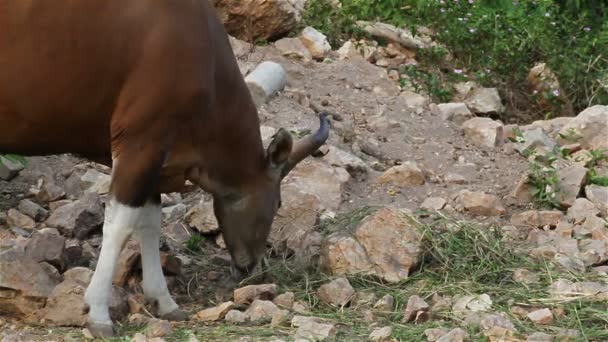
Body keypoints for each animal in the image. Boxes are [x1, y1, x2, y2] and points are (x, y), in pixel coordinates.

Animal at [0, 0, 330, 336]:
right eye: (278, 203)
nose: (254, 268)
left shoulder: (159, 159)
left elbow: (149, 221)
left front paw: (163, 300)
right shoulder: (141, 141)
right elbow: (120, 225)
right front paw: (99, 313)